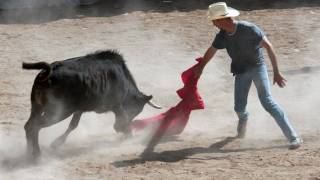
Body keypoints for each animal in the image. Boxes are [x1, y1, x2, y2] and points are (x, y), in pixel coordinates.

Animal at [22, 49, 160, 158]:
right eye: (136, 110)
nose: (117, 128)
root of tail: (47, 74)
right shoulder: (117, 104)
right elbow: (124, 117)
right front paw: (128, 136)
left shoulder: (79, 109)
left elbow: (73, 125)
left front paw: (57, 143)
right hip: (59, 112)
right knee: (35, 126)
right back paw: (37, 155)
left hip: (37, 107)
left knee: (28, 125)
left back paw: (28, 154)